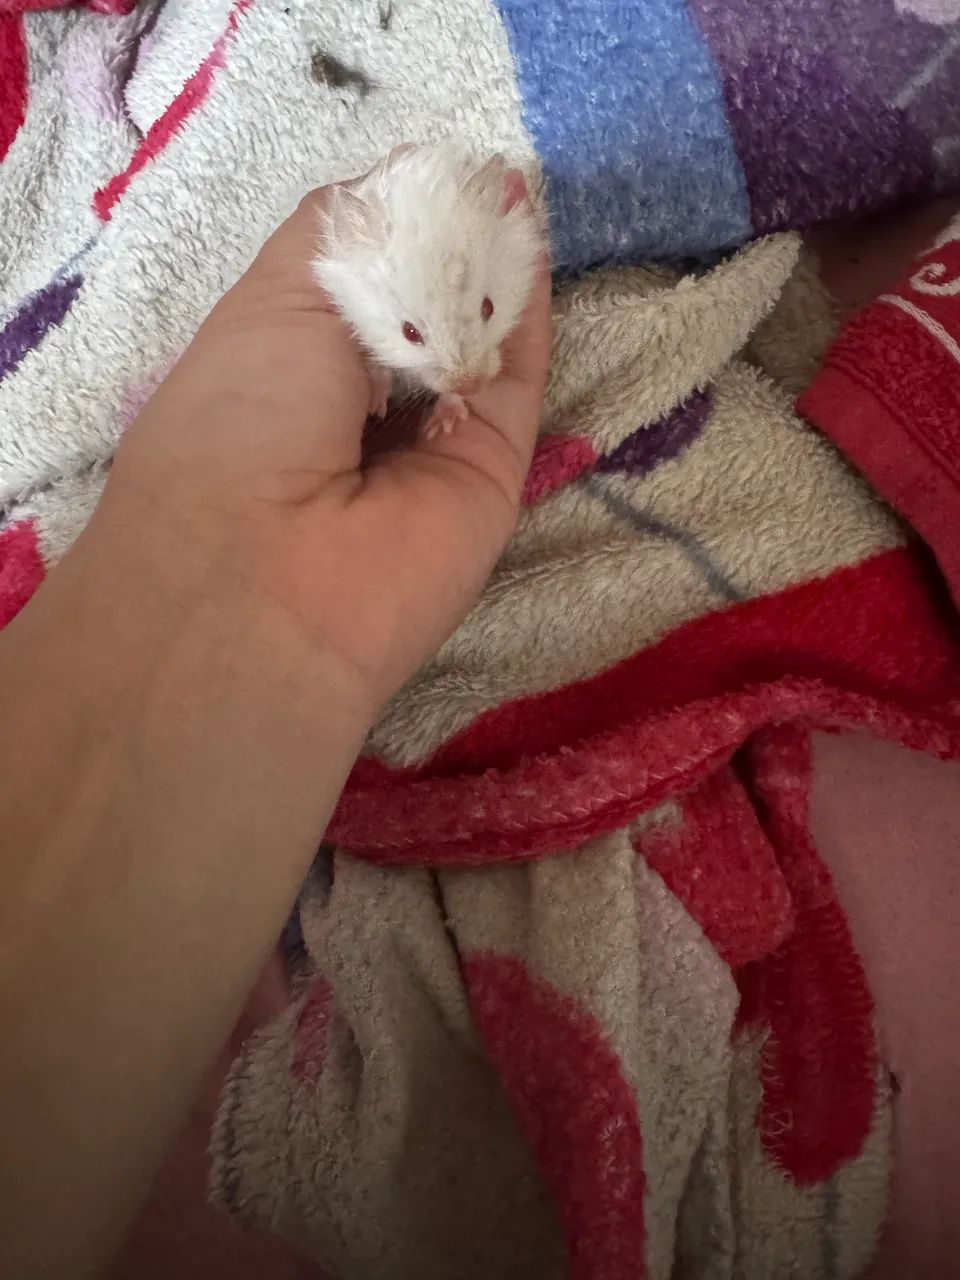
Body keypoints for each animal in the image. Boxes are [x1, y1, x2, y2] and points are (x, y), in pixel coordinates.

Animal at [313, 141, 543, 438]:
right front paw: (375, 407)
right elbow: (379, 366)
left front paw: (441, 426)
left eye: (488, 308)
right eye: (410, 333)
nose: (471, 385)